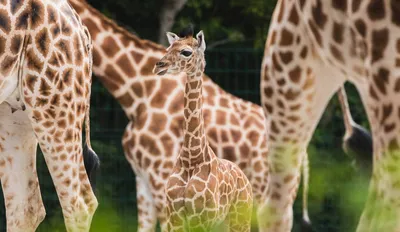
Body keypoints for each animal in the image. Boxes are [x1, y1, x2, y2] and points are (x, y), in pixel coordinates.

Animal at [153, 27, 253, 232]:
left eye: (186, 52)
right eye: (168, 48)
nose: (159, 65)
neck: (191, 157)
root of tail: (245, 179)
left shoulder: (202, 218)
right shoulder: (174, 218)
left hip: (240, 220)